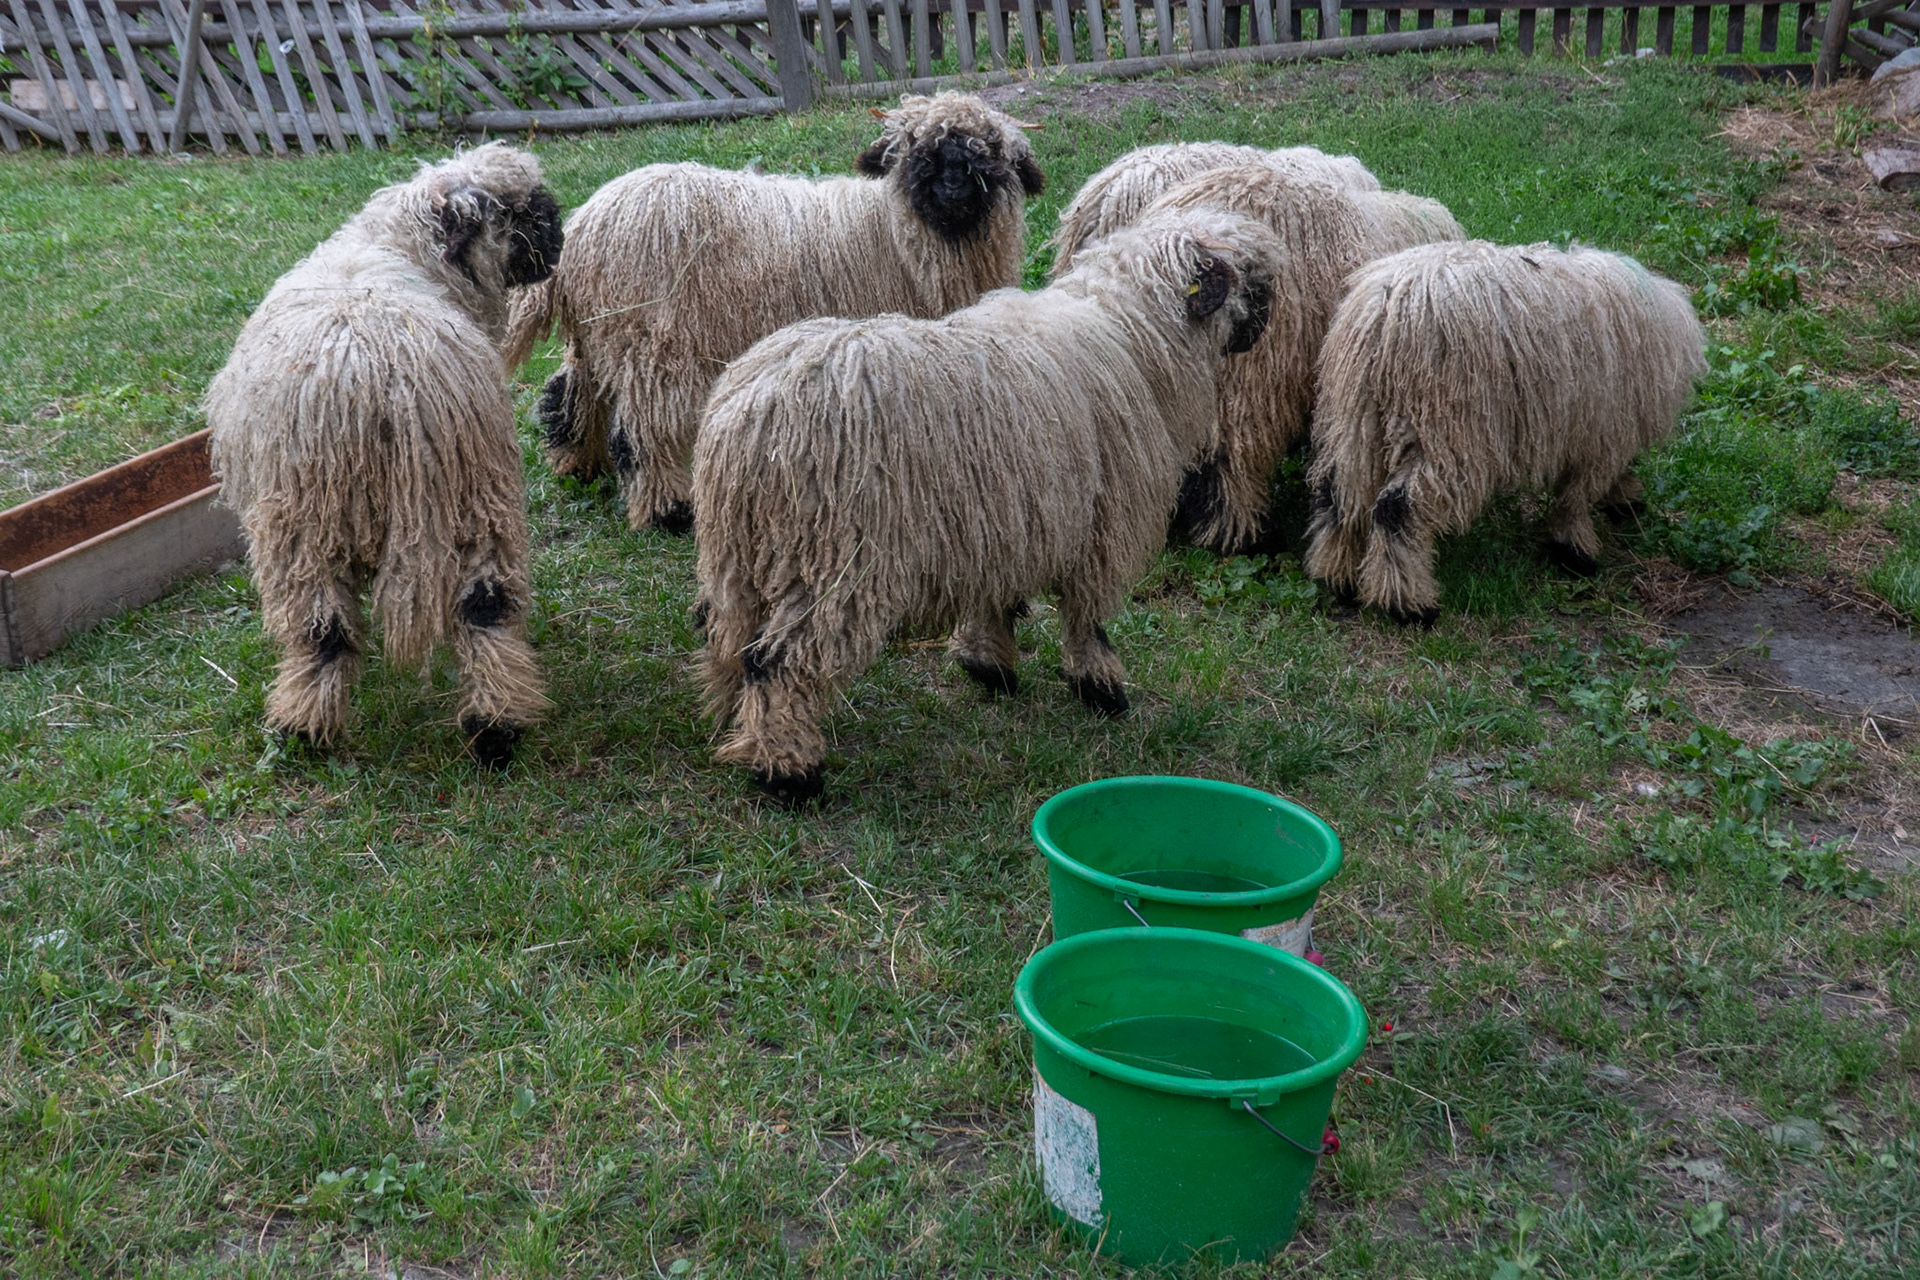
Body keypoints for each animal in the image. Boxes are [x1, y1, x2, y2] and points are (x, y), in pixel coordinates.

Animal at [206, 142, 563, 768]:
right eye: (520, 211)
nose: (559, 236)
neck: (402, 248)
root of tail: (382, 375)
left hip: (309, 522)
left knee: (326, 629)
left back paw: (308, 728)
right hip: (462, 491)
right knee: (475, 608)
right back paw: (489, 728)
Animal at [505, 91, 1046, 533]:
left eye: (987, 149)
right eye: (917, 148)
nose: (952, 183)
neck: (893, 235)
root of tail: (583, 227)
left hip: (601, 334)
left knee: (571, 391)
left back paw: (578, 465)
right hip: (654, 343)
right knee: (641, 432)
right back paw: (668, 512)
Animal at [693, 207, 1283, 804]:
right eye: (1255, 281)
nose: (1261, 330)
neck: (1134, 333)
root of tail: (755, 412)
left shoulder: (1001, 518)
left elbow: (996, 595)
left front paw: (988, 665)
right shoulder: (1099, 520)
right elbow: (1087, 614)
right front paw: (1100, 687)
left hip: (740, 553)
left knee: (729, 636)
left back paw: (733, 725)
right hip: (835, 559)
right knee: (779, 662)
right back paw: (789, 772)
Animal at [1303, 239, 1707, 624]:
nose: (1635, 507)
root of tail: (1385, 313)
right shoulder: (1600, 433)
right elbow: (1576, 496)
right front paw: (1576, 552)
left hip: (1357, 418)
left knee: (1338, 496)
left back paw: (1337, 578)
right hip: (1448, 431)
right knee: (1396, 509)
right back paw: (1410, 606)